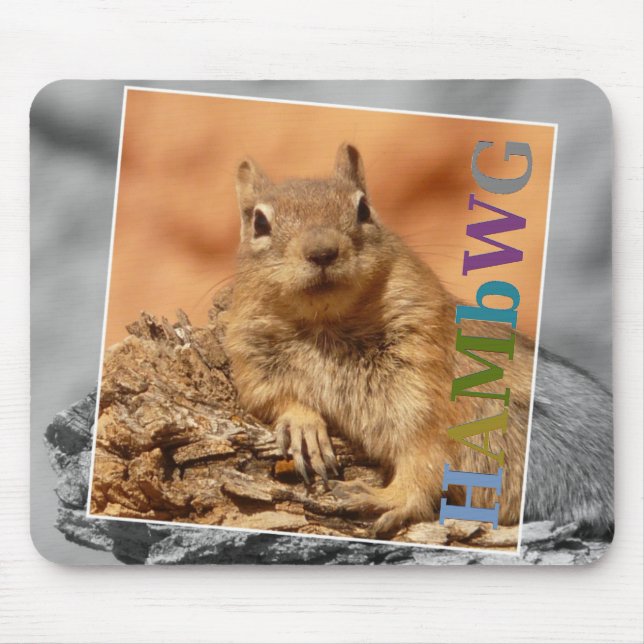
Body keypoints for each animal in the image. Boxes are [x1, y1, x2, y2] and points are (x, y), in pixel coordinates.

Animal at [224, 143, 613, 538]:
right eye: (259, 223)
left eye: (363, 209)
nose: (322, 251)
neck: (327, 326)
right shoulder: (252, 360)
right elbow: (268, 397)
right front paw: (303, 425)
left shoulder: (428, 391)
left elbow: (425, 460)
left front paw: (386, 498)